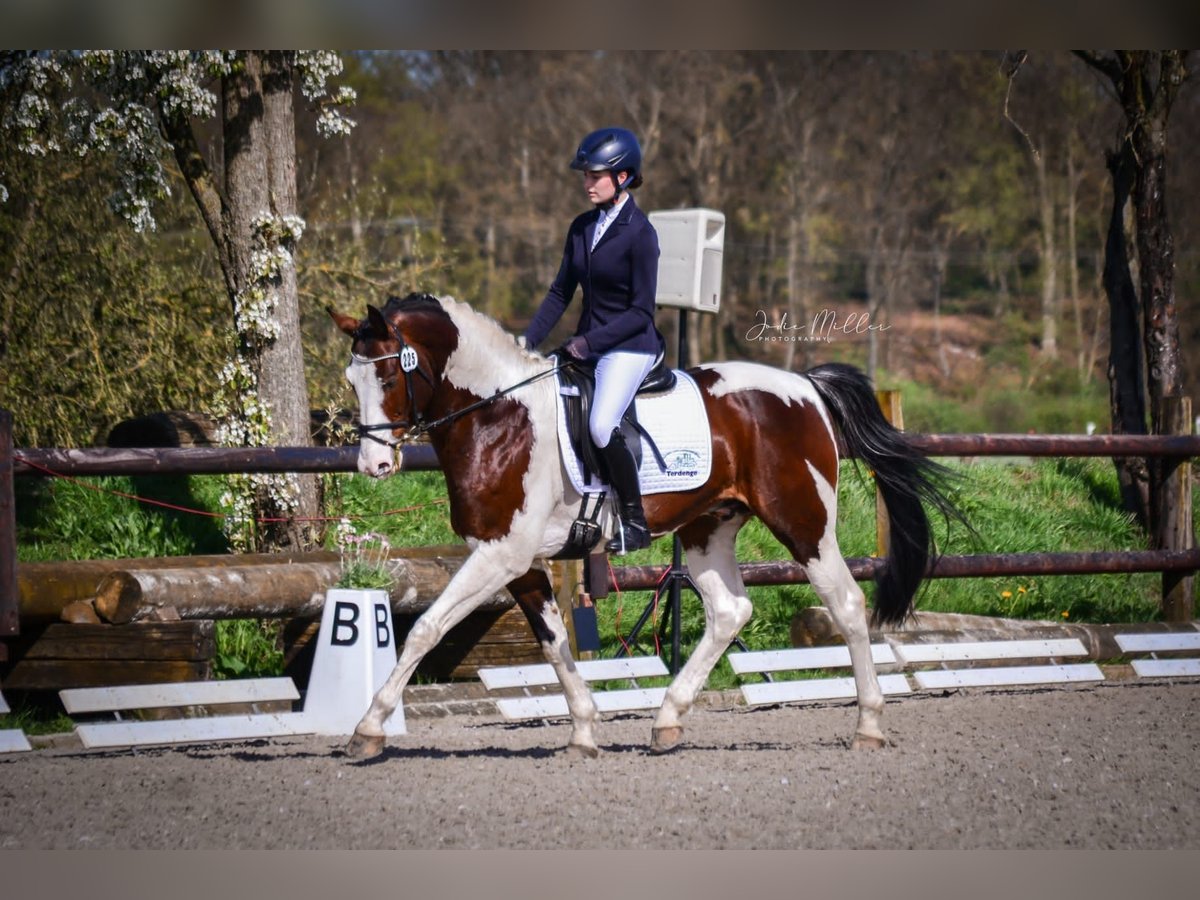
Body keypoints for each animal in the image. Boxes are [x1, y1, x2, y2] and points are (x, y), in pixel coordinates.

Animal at [324, 292, 960, 758]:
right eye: (352, 382)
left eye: (388, 379)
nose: (373, 465)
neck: (497, 416)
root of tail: (805, 385)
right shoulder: (516, 559)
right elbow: (554, 643)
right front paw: (583, 731)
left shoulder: (500, 554)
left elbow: (426, 628)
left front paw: (368, 728)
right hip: (706, 528)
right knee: (730, 611)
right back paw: (667, 720)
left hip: (804, 524)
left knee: (846, 604)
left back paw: (869, 725)